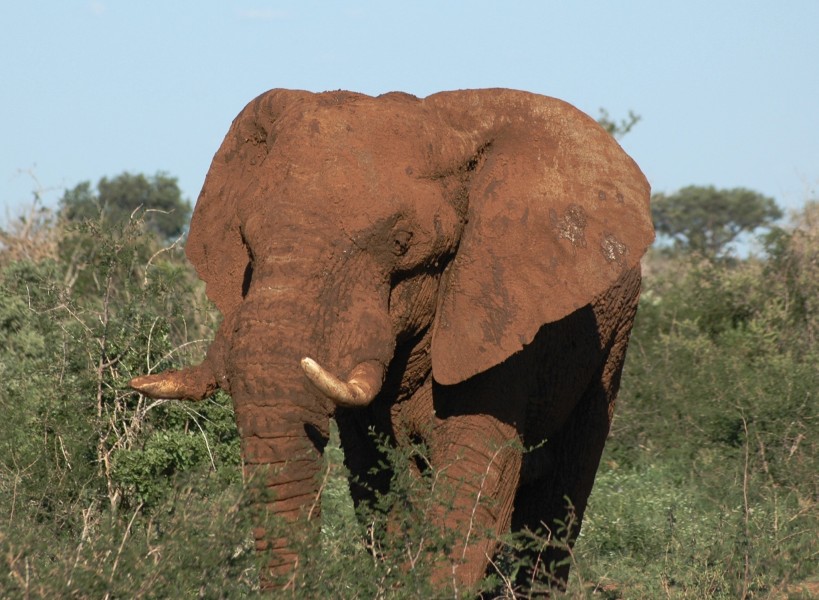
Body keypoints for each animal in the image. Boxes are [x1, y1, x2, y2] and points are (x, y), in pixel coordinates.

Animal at [130, 88, 652, 592]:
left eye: (401, 243)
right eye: (246, 241)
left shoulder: (499, 317)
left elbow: (477, 483)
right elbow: (380, 487)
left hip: (614, 336)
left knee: (560, 498)